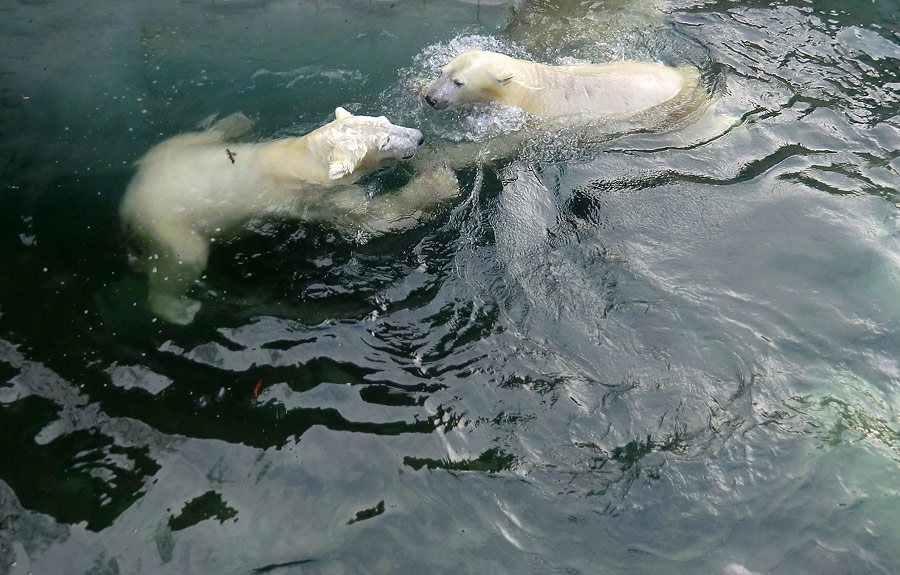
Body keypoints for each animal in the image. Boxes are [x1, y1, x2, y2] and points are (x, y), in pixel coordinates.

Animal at [119, 107, 458, 324]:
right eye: (384, 141)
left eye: (386, 121)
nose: (419, 136)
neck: (301, 156)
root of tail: (129, 201)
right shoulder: (320, 198)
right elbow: (371, 220)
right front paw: (440, 183)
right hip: (168, 224)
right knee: (182, 260)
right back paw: (181, 309)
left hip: (169, 152)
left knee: (193, 139)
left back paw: (235, 123)